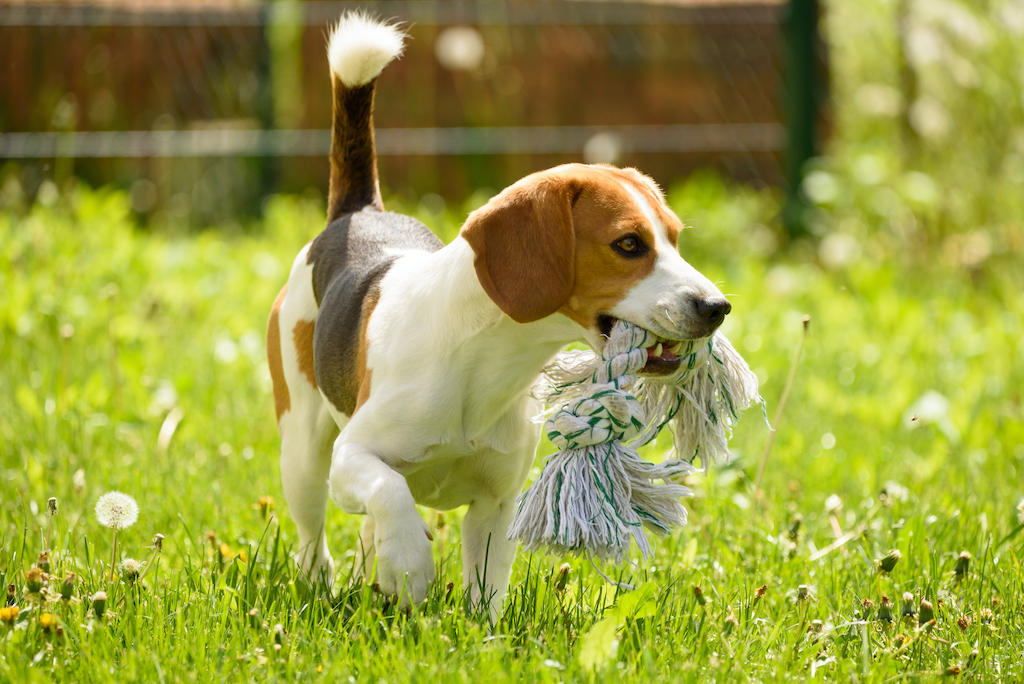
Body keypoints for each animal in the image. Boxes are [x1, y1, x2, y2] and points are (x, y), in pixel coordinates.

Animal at [264, 14, 729, 618]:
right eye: (629, 244)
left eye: (674, 237)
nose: (718, 308)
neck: (484, 365)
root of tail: (359, 213)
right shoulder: (354, 457)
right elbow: (391, 492)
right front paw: (411, 565)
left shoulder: (497, 502)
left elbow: (484, 589)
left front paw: (470, 623)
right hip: (303, 451)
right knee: (313, 534)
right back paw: (323, 581)